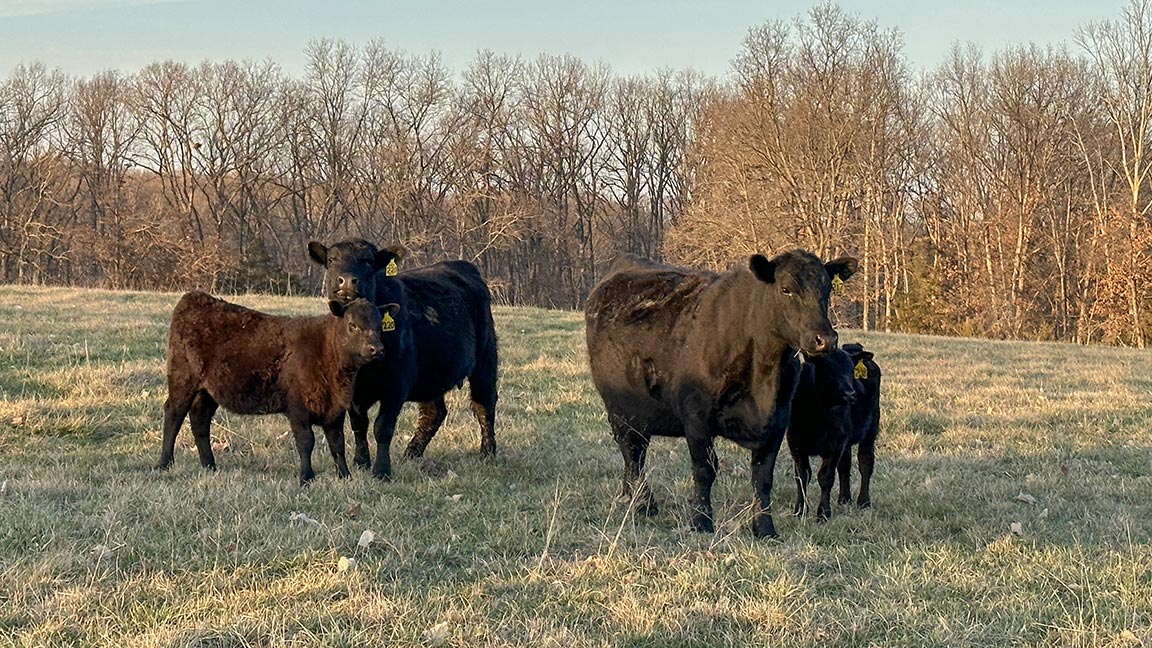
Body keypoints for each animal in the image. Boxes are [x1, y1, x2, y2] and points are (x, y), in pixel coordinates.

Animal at [155, 291, 389, 484]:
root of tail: (195, 298)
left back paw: (209, 465)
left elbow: (337, 444)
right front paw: (306, 478)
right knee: (174, 414)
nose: (377, 349)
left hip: (208, 390)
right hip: (182, 378)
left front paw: (344, 475)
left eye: (380, 326)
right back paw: (164, 463)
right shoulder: (297, 408)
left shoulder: (335, 409)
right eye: (352, 325)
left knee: (200, 419)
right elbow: (306, 442)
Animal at [307, 239, 499, 480]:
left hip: (485, 358)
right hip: (431, 373)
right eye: (332, 259)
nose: (347, 280)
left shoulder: (396, 384)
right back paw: (411, 453)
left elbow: (382, 427)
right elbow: (359, 424)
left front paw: (381, 471)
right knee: (434, 412)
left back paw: (488, 452)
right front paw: (361, 462)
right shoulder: (351, 388)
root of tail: (464, 266)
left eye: (368, 261)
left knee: (484, 403)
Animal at [585, 250, 857, 539]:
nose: (825, 339)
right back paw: (642, 504)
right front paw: (701, 521)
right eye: (786, 289)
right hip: (619, 409)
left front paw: (764, 527)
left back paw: (633, 498)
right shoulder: (696, 417)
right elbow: (704, 469)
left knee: (636, 454)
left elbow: (763, 477)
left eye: (827, 289)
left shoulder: (778, 421)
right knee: (632, 453)